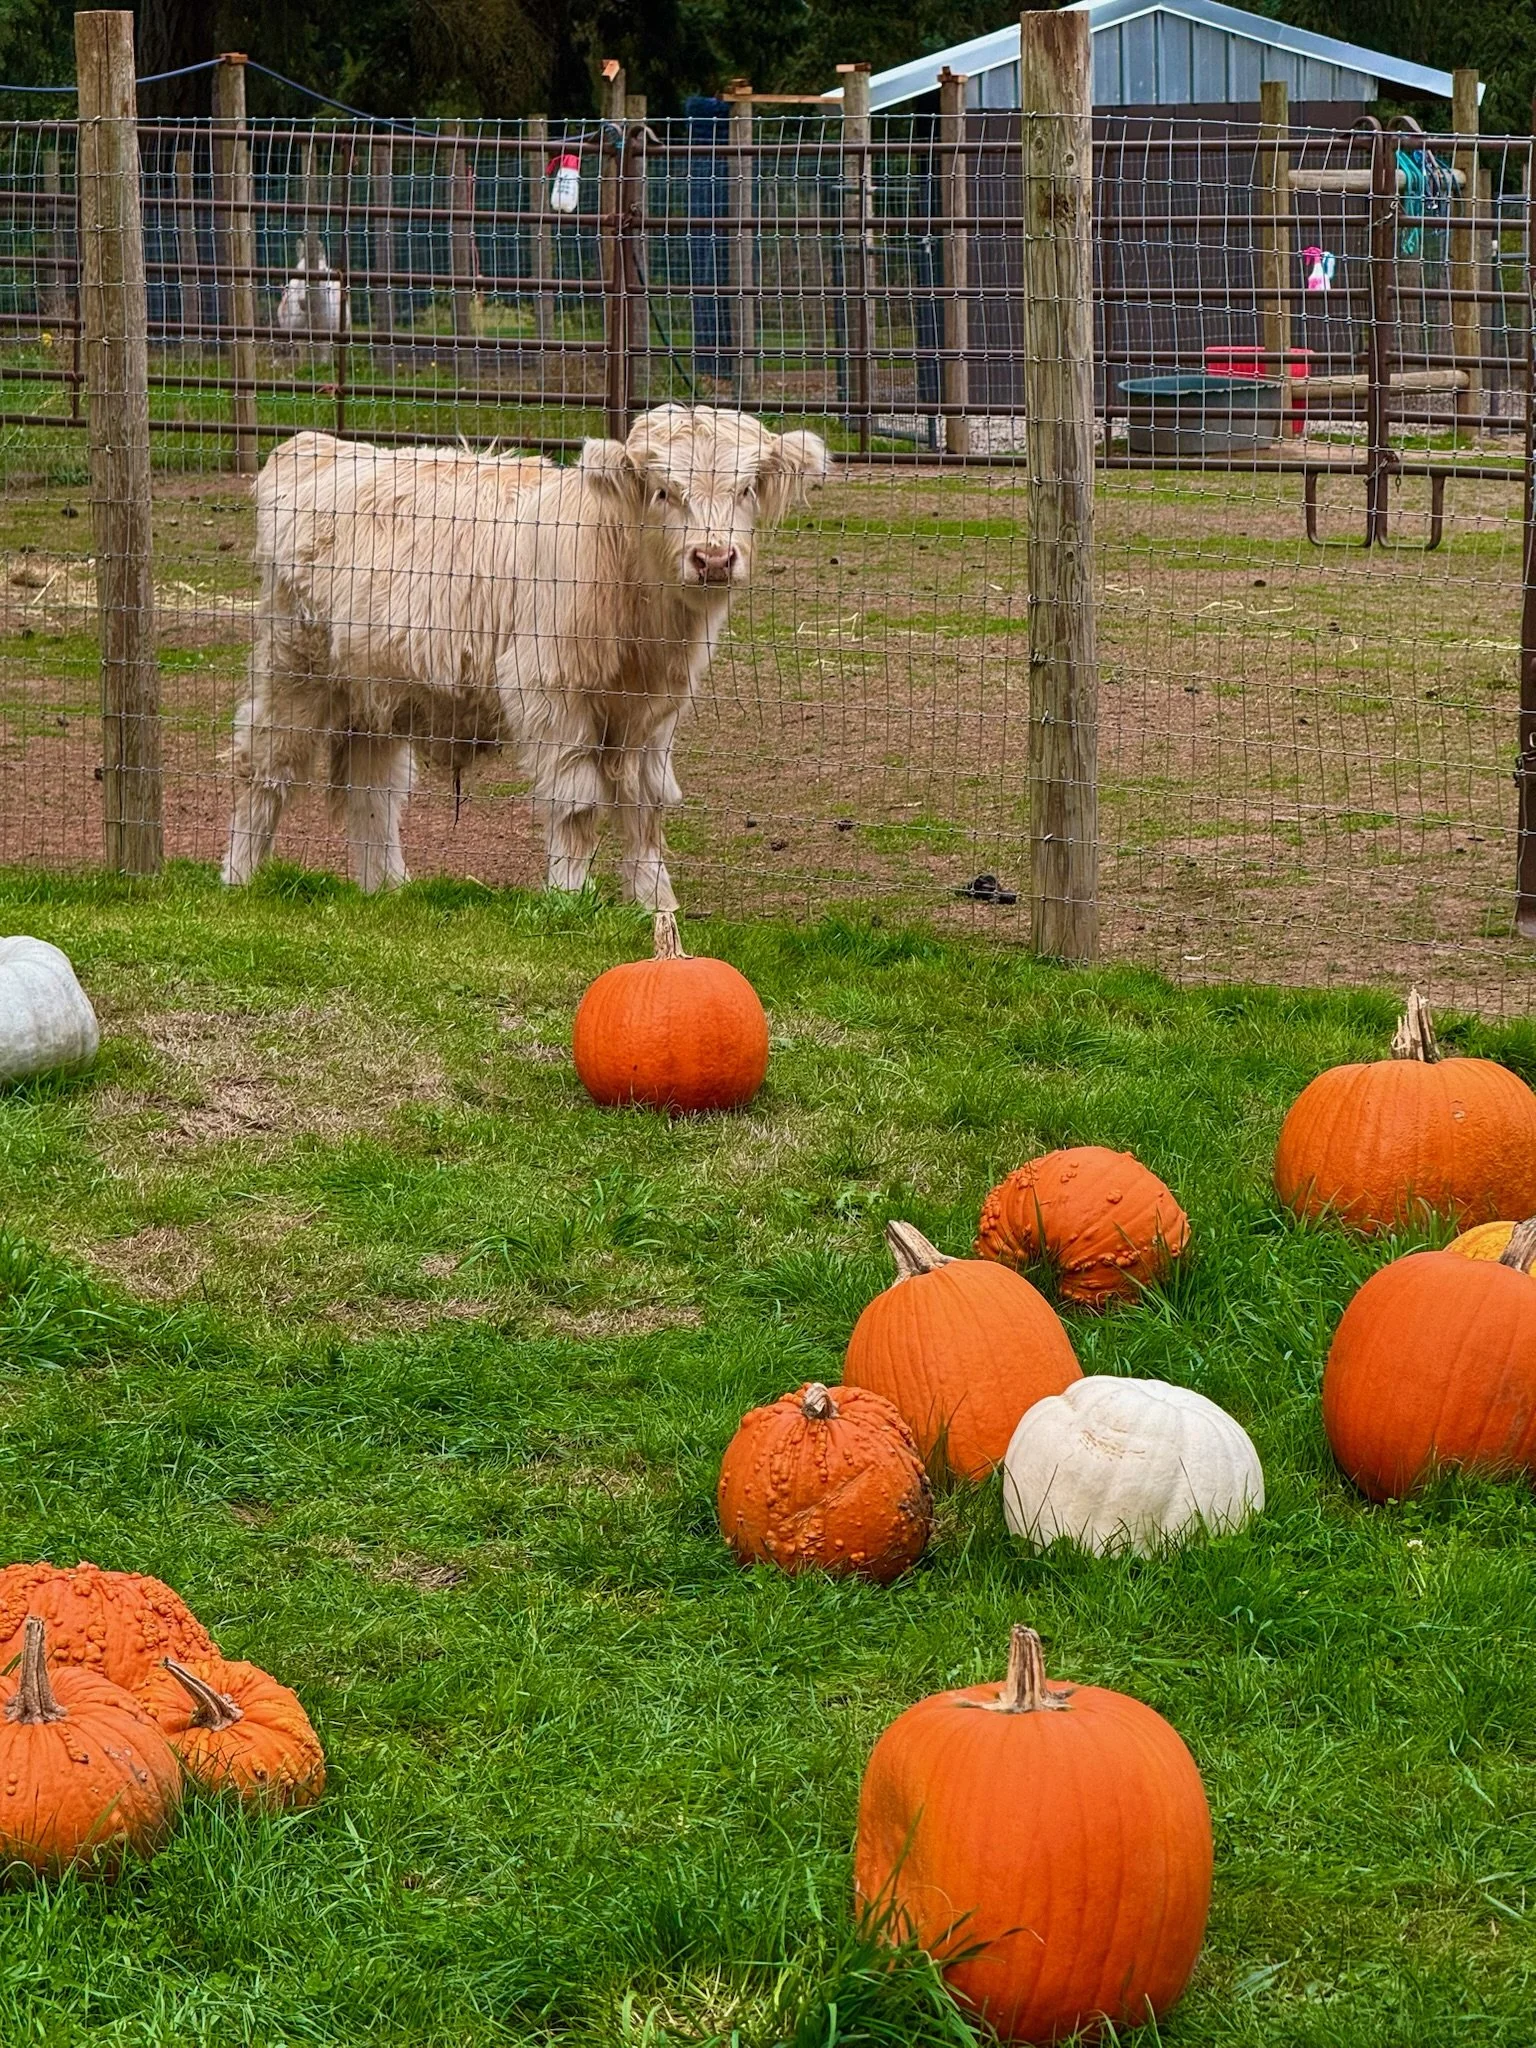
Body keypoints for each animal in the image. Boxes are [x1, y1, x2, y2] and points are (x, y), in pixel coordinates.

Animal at [221, 406, 828, 906]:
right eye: (662, 491)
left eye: (746, 489)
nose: (714, 558)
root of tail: (318, 445)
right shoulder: (551, 692)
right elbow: (578, 805)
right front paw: (568, 898)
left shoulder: (654, 714)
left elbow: (646, 807)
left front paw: (659, 907)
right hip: (294, 665)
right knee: (265, 765)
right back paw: (238, 877)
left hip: (377, 689)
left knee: (373, 789)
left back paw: (385, 890)